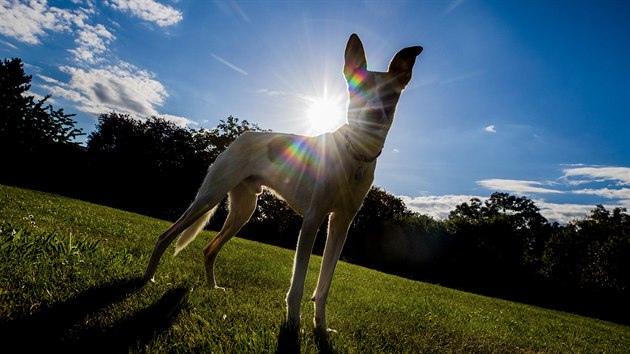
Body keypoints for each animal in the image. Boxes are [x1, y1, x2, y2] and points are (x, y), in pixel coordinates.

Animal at [144, 34, 424, 332]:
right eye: (358, 92)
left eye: (392, 95)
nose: (374, 119)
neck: (356, 155)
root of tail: (242, 136)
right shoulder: (313, 219)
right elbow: (298, 284)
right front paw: (293, 323)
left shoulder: (341, 225)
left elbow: (324, 287)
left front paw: (321, 327)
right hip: (209, 197)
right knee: (165, 236)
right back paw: (148, 278)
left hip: (244, 210)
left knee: (209, 249)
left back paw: (212, 288)